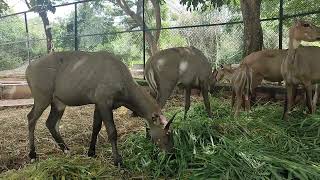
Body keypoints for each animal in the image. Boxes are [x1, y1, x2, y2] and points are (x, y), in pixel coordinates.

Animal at [26, 51, 178, 166]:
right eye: (167, 134)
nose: (172, 155)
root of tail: (29, 68)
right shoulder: (104, 102)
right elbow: (112, 131)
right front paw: (117, 160)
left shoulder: (98, 104)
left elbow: (96, 127)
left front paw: (91, 152)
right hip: (42, 98)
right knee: (31, 118)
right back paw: (32, 155)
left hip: (58, 102)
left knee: (51, 123)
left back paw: (66, 150)